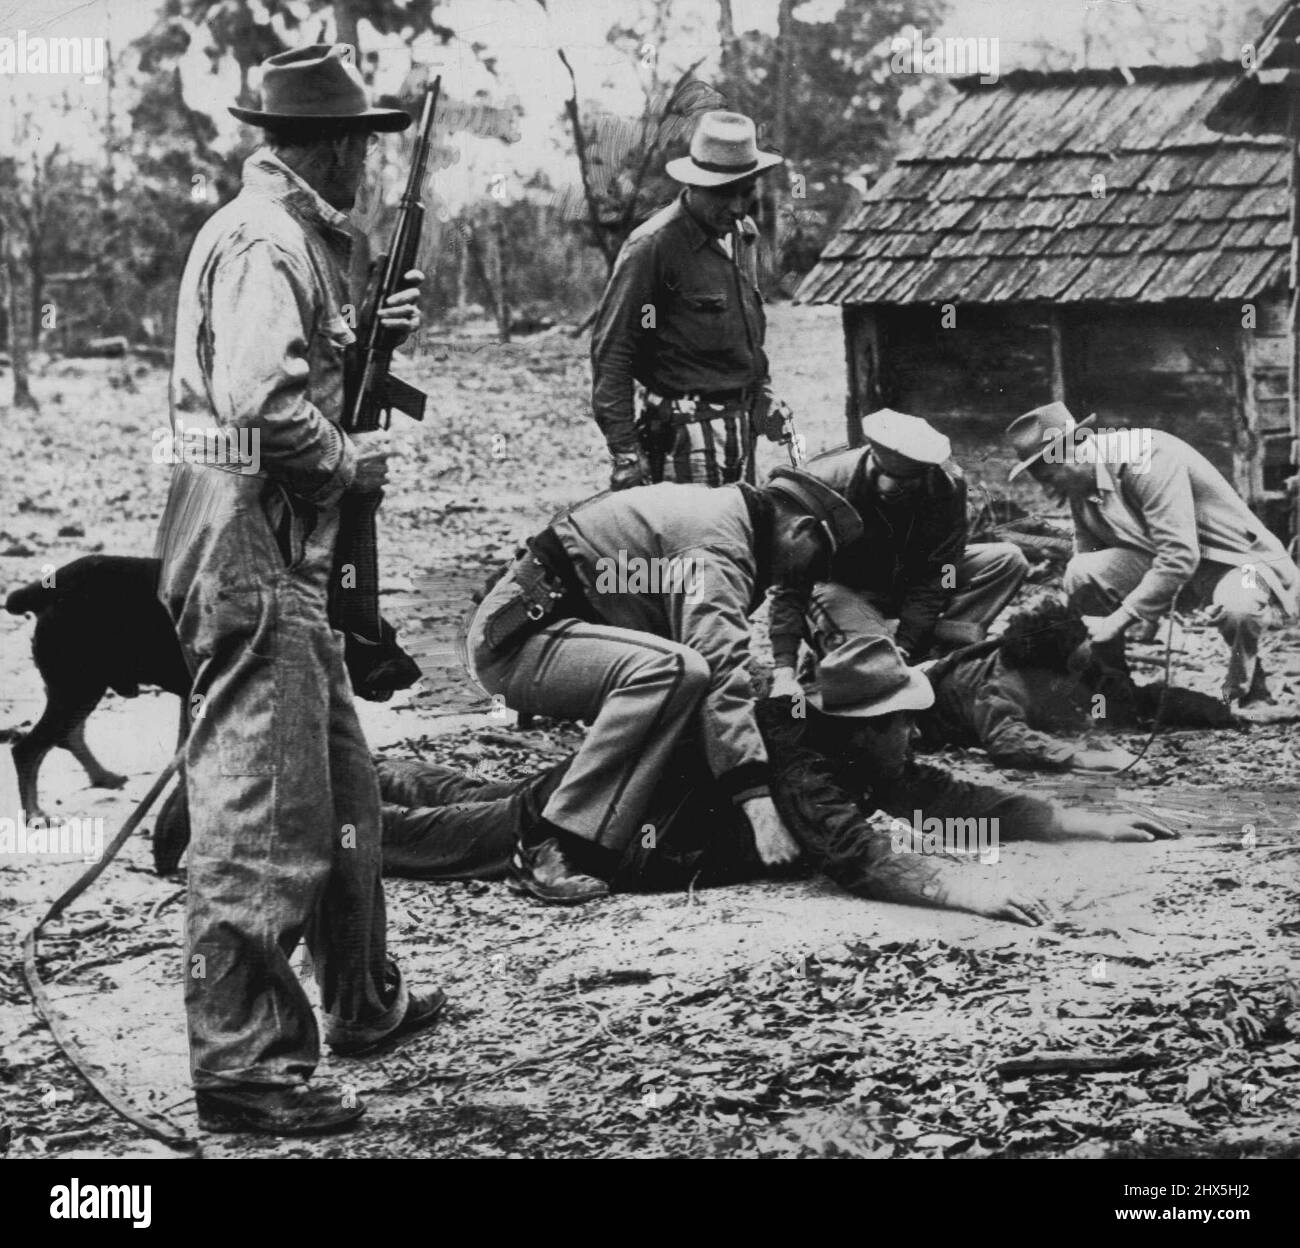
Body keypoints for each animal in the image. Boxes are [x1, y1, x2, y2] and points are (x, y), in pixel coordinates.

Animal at [6, 553, 421, 826]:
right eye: (380, 643)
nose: (416, 673)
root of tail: (47, 588)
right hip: (77, 685)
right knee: (28, 749)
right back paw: (35, 813)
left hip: (81, 685)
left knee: (67, 734)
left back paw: (102, 776)